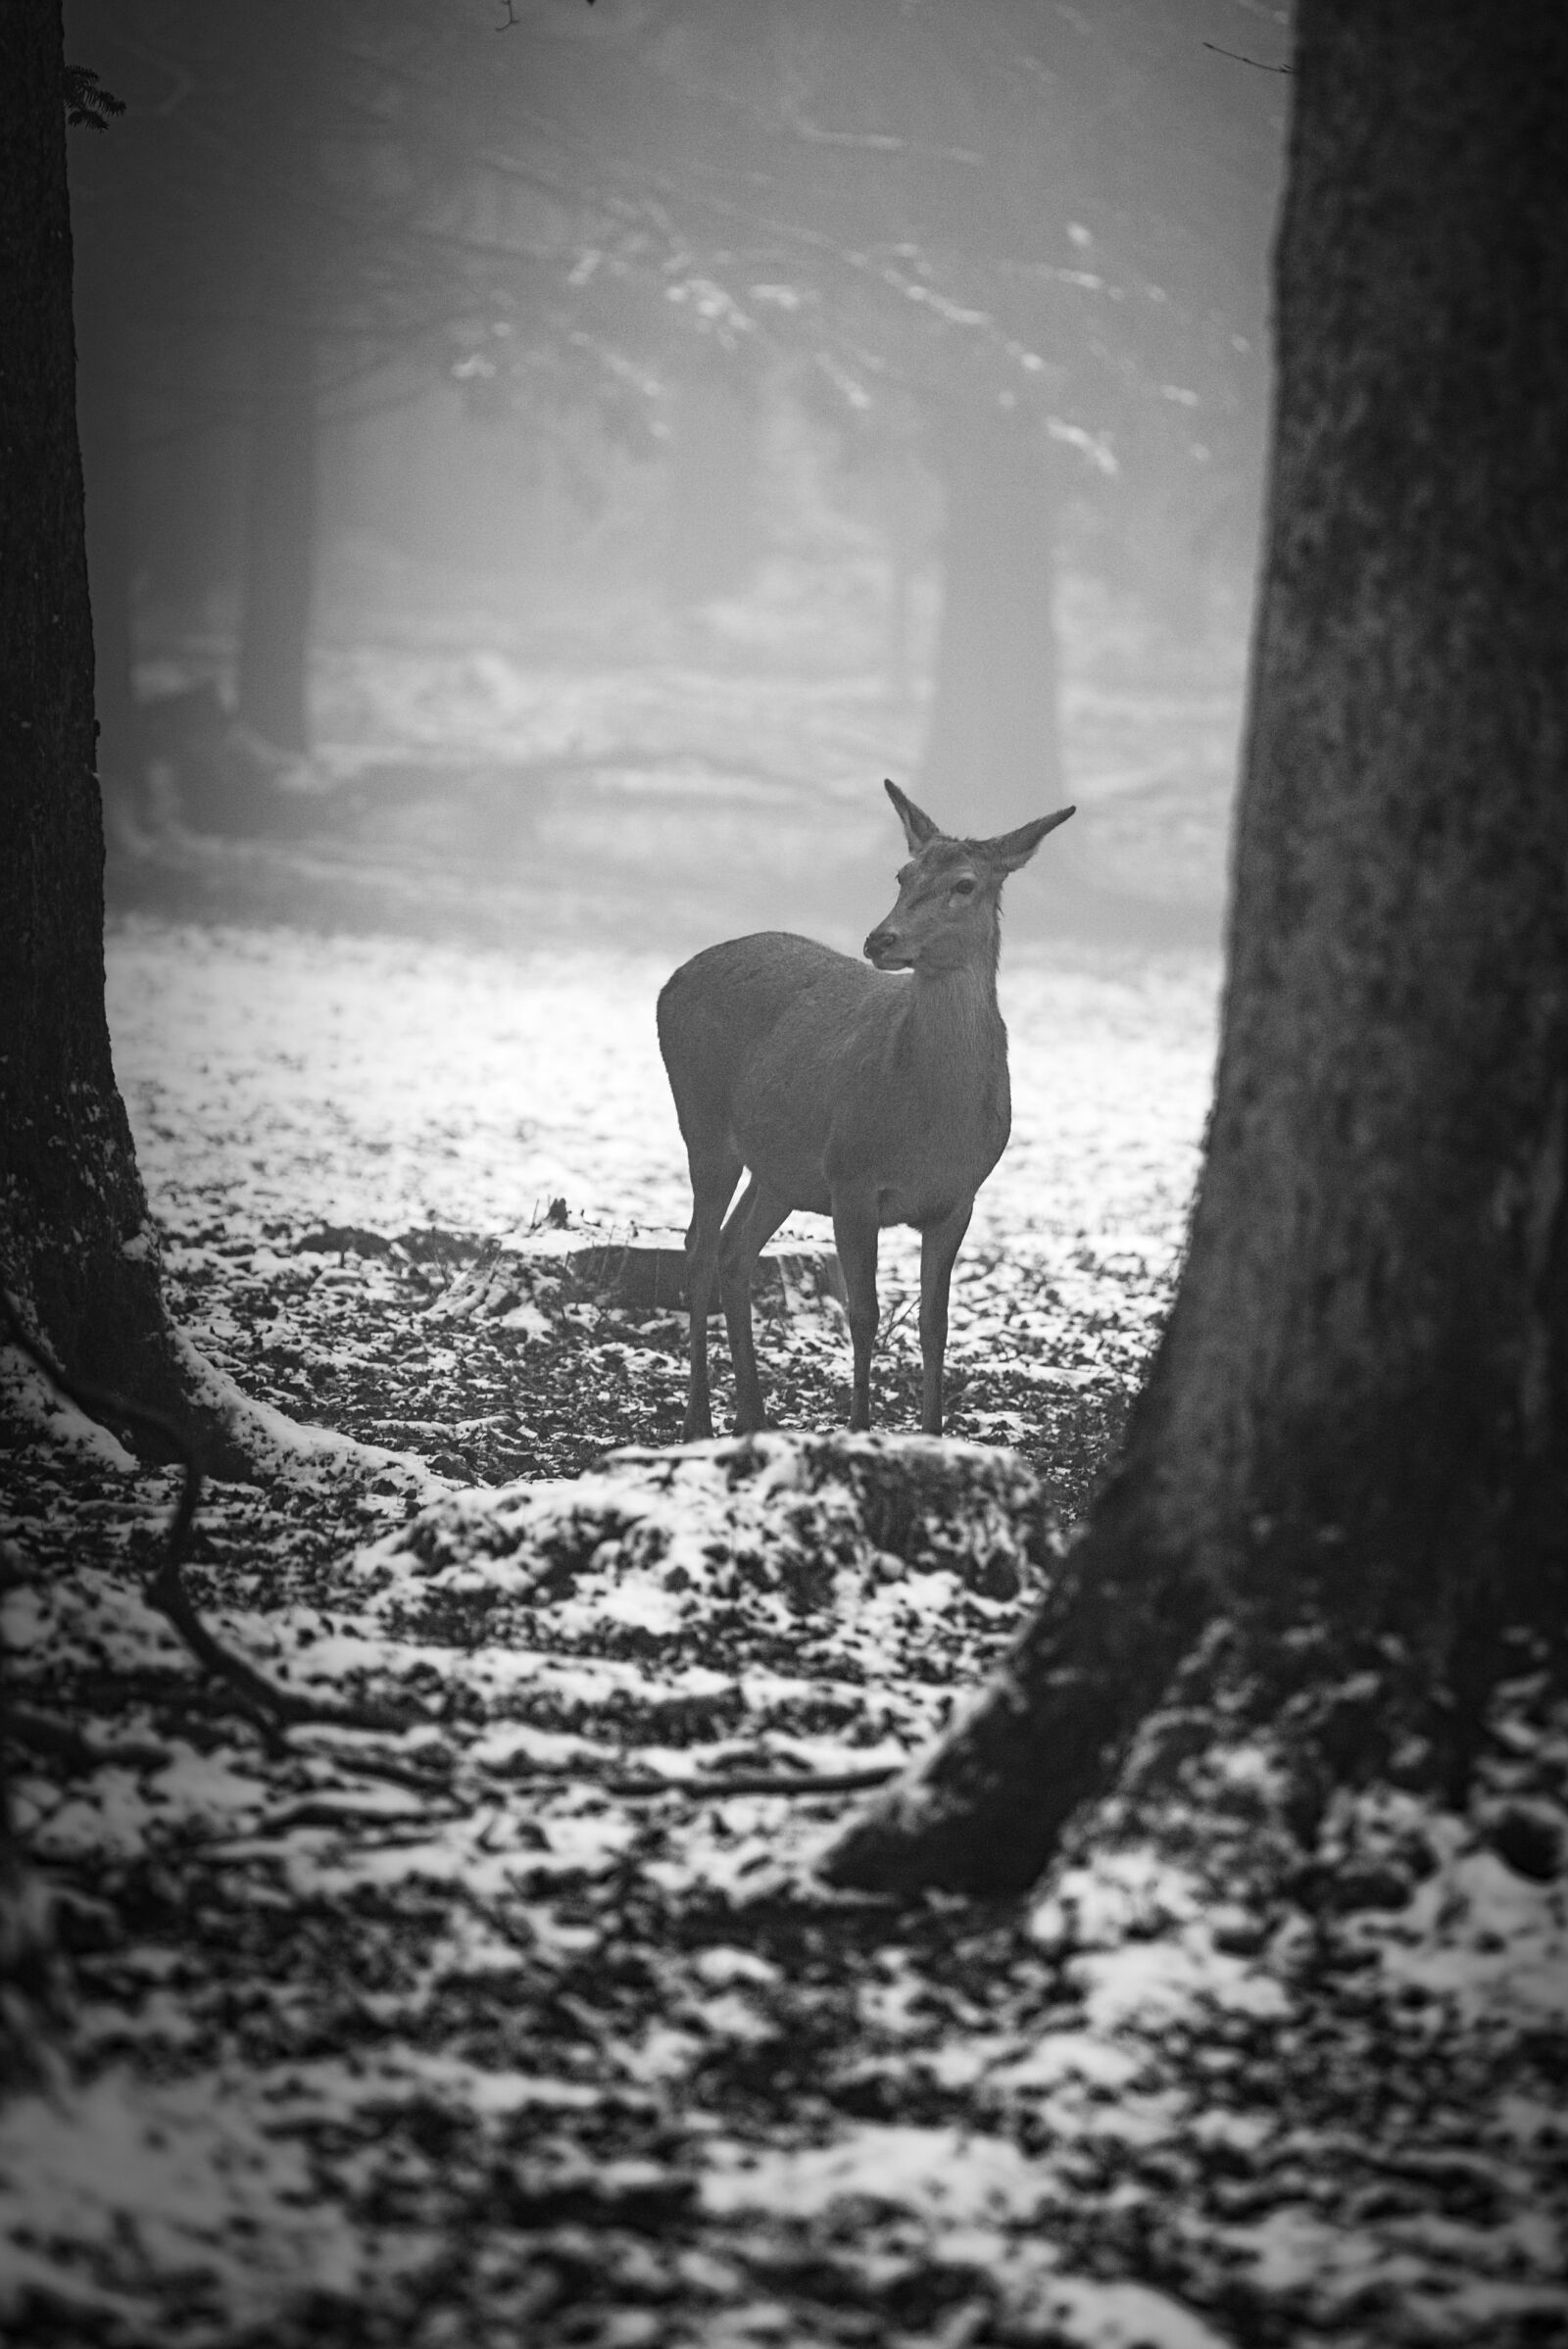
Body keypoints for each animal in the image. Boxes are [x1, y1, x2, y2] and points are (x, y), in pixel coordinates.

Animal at [656, 778, 1074, 1441]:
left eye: (965, 883)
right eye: (902, 874)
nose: (881, 939)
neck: (932, 1122)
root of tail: (668, 982)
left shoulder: (960, 1198)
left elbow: (935, 1324)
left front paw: (932, 1436)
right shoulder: (852, 1177)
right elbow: (864, 1313)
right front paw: (857, 1429)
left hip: (783, 1169)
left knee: (733, 1250)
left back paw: (754, 1416)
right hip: (702, 1119)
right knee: (696, 1249)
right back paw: (699, 1418)